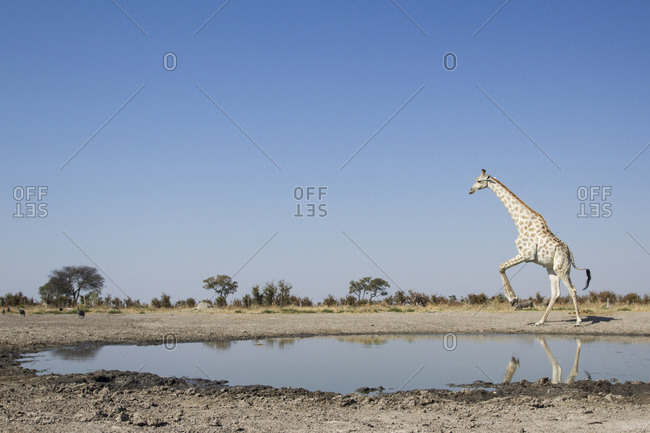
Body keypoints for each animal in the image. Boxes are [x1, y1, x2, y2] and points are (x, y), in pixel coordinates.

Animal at [469, 169, 591, 326]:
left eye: (479, 180)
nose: (470, 190)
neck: (521, 223)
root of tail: (570, 254)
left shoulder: (527, 254)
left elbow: (501, 266)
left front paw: (513, 299)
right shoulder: (526, 255)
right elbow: (502, 267)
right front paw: (513, 299)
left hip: (562, 268)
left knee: (573, 289)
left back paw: (578, 321)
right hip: (551, 269)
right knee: (556, 293)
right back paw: (540, 321)